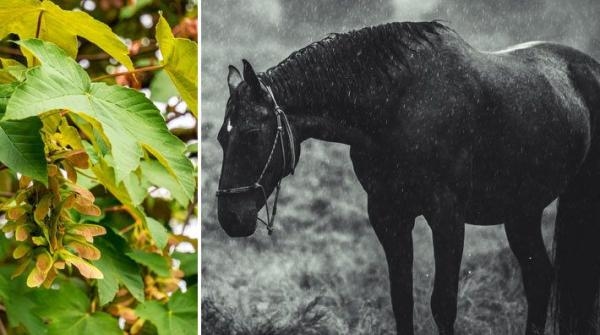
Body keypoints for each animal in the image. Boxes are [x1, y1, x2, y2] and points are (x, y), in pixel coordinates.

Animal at [218, 21, 600, 335]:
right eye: (223, 137)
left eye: (251, 134)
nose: (230, 218)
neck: (400, 105)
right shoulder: (388, 215)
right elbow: (402, 302)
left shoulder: (447, 217)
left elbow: (443, 305)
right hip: (522, 211)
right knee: (539, 278)